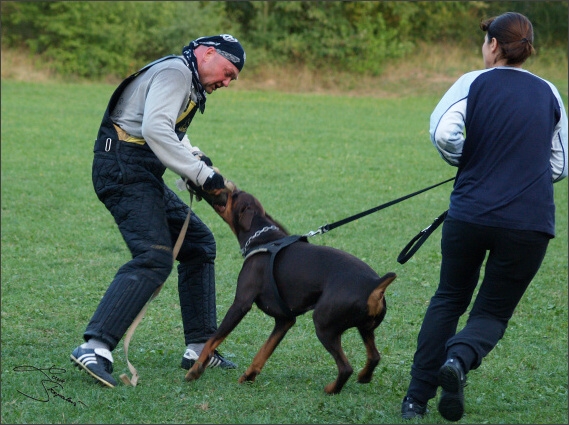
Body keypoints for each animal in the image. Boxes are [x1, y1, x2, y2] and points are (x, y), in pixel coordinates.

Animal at [184, 181, 392, 392]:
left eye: (234, 195)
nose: (222, 184)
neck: (263, 238)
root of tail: (374, 284)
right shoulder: (285, 320)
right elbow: (264, 351)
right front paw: (249, 376)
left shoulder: (241, 304)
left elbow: (212, 339)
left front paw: (195, 370)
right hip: (365, 329)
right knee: (374, 357)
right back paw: (364, 376)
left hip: (324, 325)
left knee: (345, 367)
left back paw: (331, 389)